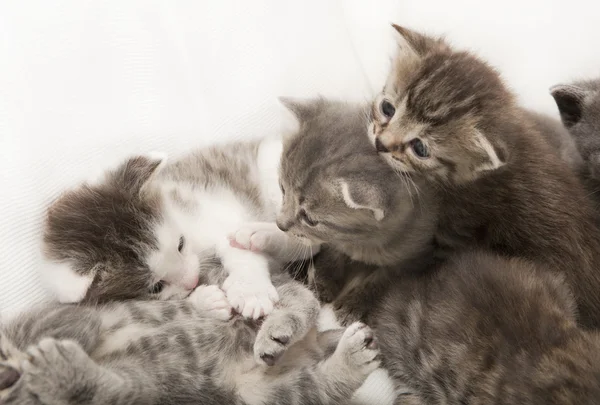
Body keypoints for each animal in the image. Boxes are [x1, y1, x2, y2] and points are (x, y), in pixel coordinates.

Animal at [42, 140, 318, 318]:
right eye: (155, 287)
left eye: (181, 244)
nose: (193, 280)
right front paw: (206, 301)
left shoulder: (214, 212)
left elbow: (237, 245)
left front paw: (251, 289)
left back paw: (262, 235)